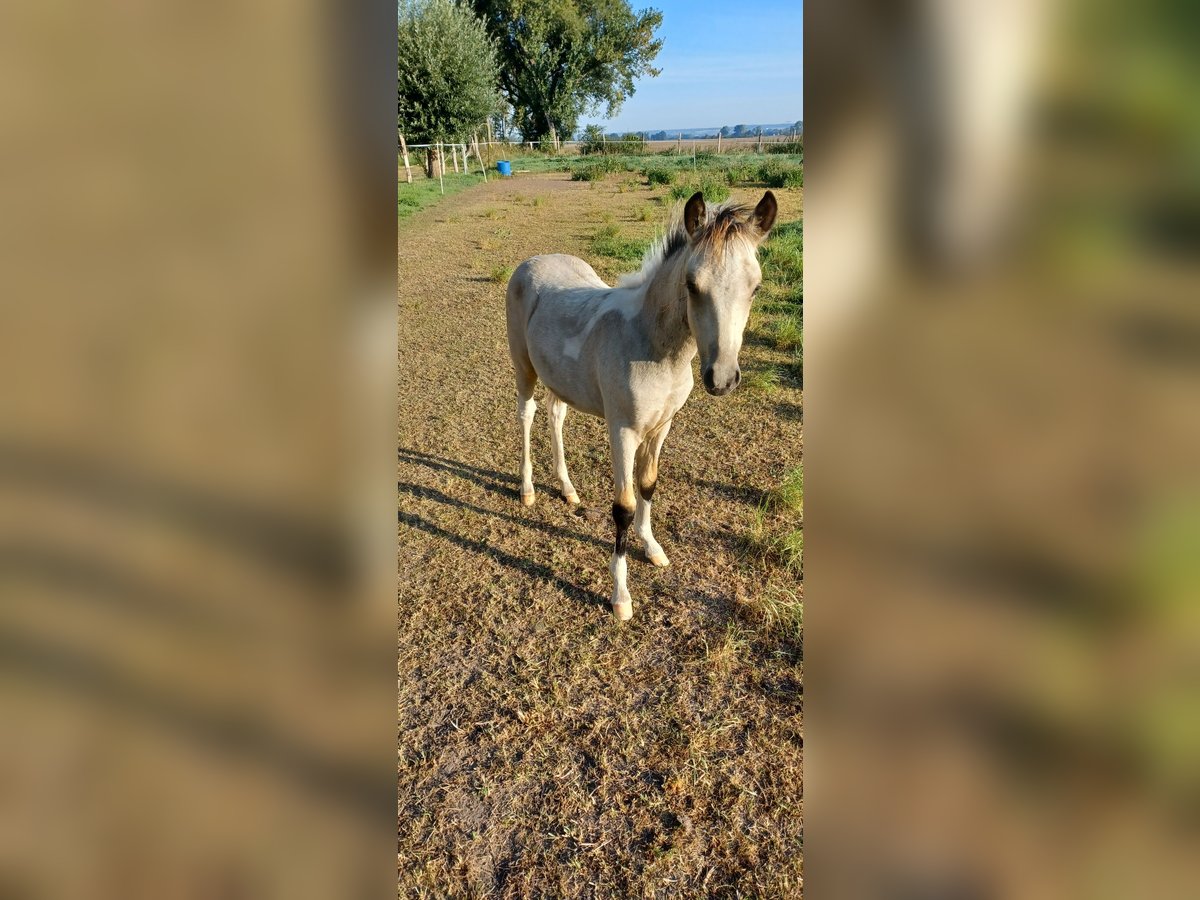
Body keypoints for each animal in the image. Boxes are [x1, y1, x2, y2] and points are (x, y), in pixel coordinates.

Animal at [504, 192, 777, 619]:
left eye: (756, 287)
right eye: (692, 284)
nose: (721, 378)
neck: (654, 347)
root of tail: (532, 261)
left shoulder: (662, 426)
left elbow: (649, 485)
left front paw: (652, 547)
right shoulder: (623, 431)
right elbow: (624, 506)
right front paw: (621, 597)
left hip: (559, 377)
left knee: (556, 415)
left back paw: (567, 488)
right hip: (523, 366)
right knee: (527, 415)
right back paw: (528, 489)